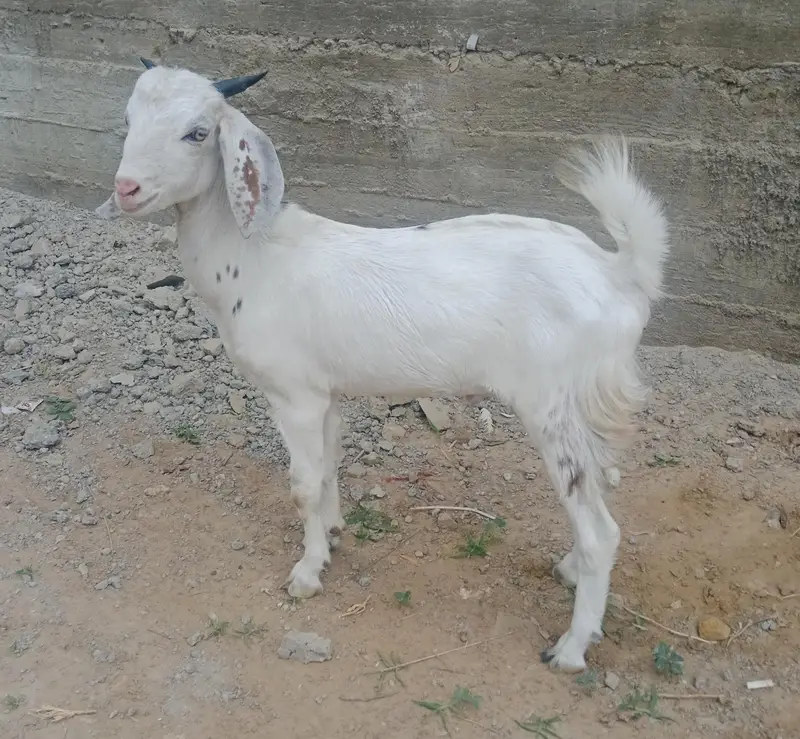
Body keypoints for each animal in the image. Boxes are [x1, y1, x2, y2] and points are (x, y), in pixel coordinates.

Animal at [96, 59, 669, 671]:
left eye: (198, 132)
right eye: (128, 118)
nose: (126, 189)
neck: (253, 257)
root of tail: (619, 273)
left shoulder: (293, 395)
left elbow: (302, 484)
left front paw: (306, 574)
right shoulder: (325, 393)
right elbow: (328, 470)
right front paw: (332, 536)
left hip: (550, 403)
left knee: (600, 529)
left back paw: (571, 647)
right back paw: (568, 572)